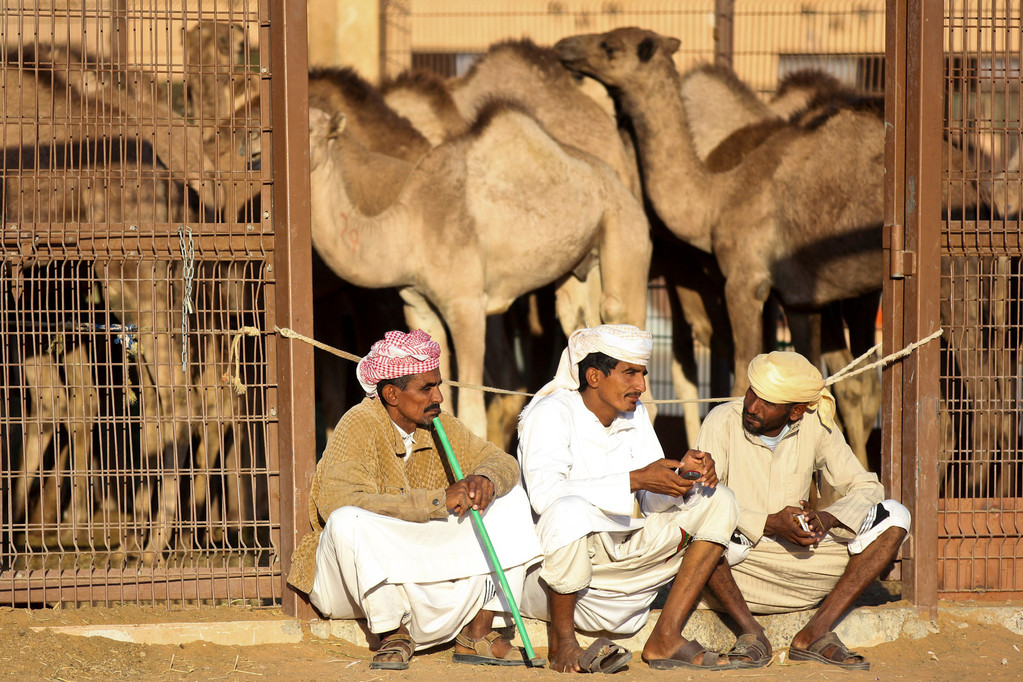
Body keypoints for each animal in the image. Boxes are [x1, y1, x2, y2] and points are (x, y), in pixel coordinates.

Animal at [306, 102, 650, 437]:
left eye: (312, 128)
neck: (413, 226)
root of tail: (623, 186)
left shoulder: (466, 305)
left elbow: (471, 415)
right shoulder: (418, 305)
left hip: (625, 226)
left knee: (620, 317)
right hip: (582, 263)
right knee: (576, 318)